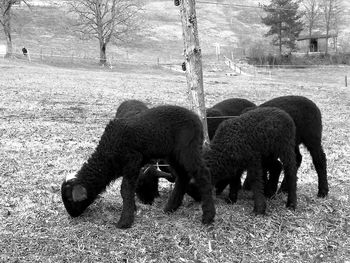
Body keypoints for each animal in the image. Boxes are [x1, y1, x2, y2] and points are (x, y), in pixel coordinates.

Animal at [61, 105, 215, 229]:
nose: (72, 215)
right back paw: (171, 207)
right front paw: (133, 208)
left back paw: (208, 216)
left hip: (189, 148)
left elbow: (125, 189)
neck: (108, 154)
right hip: (173, 154)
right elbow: (129, 189)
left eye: (69, 199)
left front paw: (125, 220)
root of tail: (197, 119)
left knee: (202, 174)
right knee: (182, 176)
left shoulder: (133, 160)